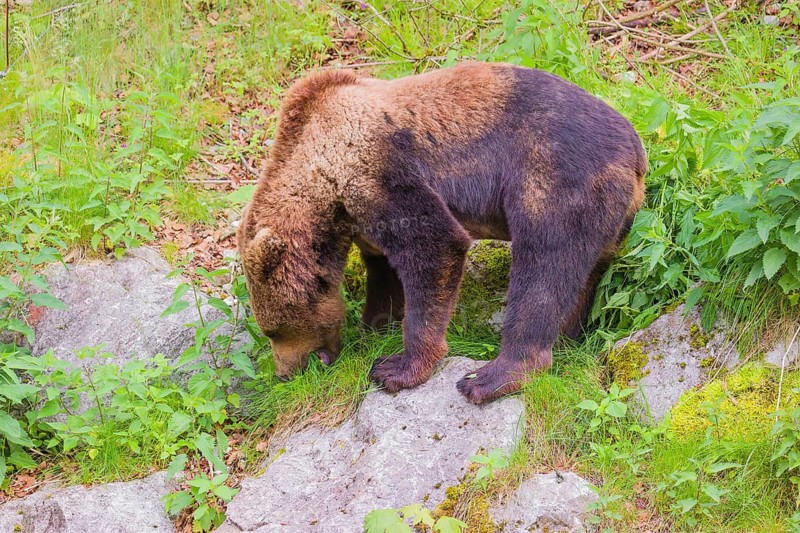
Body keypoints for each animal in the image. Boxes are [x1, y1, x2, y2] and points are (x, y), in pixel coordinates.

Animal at [237, 61, 646, 404]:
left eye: (274, 330)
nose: (286, 374)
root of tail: (637, 153)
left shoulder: (377, 172)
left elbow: (434, 246)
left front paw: (396, 367)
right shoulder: (362, 218)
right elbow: (385, 272)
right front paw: (375, 328)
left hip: (553, 179)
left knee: (543, 267)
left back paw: (492, 376)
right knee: (582, 278)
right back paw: (566, 337)